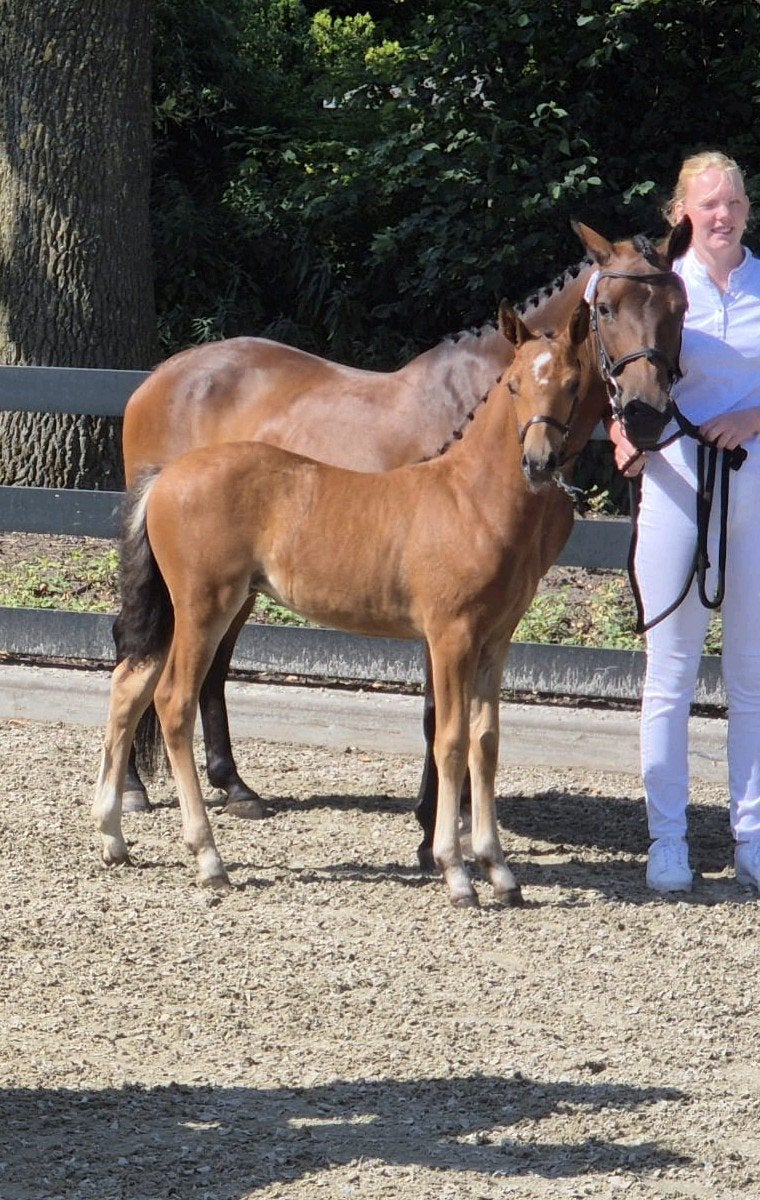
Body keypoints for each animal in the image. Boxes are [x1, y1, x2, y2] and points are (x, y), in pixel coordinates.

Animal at [95, 298, 607, 908]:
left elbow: (486, 743)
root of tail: (167, 476)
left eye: (574, 384)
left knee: (130, 685)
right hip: (203, 607)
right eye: (512, 384)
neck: (470, 500)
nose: (538, 461)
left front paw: (499, 870)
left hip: (179, 610)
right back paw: (208, 858)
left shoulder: (494, 641)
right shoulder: (450, 637)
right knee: (173, 701)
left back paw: (112, 837)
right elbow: (451, 740)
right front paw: (455, 873)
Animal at [117, 218, 691, 828]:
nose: (645, 412)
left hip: (233, 586)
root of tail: (159, 376)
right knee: (136, 645)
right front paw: (436, 813)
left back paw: (234, 785)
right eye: (606, 307)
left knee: (211, 665)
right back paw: (132, 787)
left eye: (678, 305)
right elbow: (439, 710)